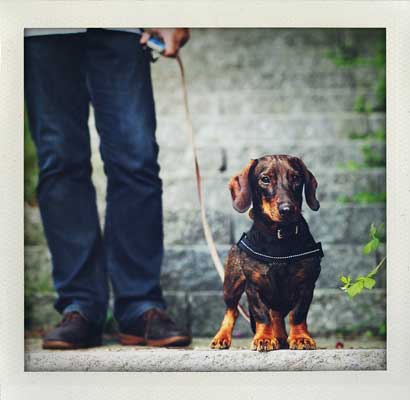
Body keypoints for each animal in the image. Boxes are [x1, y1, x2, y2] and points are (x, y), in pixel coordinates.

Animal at [210, 155, 323, 352]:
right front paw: (263, 338)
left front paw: (301, 338)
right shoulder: (253, 287)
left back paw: (279, 336)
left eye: (296, 178)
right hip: (231, 286)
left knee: (276, 314)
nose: (287, 209)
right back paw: (222, 337)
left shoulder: (306, 285)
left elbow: (298, 314)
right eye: (265, 179)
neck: (279, 237)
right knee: (232, 311)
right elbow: (262, 315)